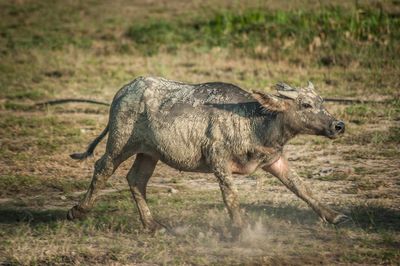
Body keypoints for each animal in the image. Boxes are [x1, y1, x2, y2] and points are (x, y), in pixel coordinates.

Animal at [67, 76, 348, 231]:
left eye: (322, 102)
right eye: (305, 105)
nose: (338, 125)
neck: (253, 122)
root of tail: (124, 91)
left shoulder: (275, 159)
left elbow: (301, 187)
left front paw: (334, 216)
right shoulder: (218, 160)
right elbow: (231, 196)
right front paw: (242, 230)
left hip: (149, 152)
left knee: (136, 179)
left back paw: (152, 225)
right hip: (121, 141)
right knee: (103, 167)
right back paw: (77, 211)